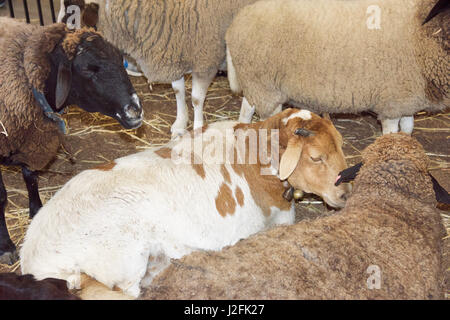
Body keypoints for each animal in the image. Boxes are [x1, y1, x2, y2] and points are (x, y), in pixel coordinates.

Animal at [0, 18, 143, 266]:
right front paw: (6, 247)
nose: (135, 110)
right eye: (88, 69)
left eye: (121, 62)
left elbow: (30, 176)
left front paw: (36, 212)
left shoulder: (32, 138)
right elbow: (1, 197)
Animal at [20, 108, 352, 298]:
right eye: (316, 157)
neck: (255, 159)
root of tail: (33, 256)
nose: (345, 194)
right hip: (123, 259)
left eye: (340, 145)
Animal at [96, 0, 274, 138]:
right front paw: (180, 123)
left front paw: (197, 128)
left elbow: (196, 99)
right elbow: (178, 91)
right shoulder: (175, 55)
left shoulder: (205, 61)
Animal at [227, 0, 448, 134]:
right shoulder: (392, 102)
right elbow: (392, 134)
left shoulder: (406, 99)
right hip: (265, 86)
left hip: (257, 84)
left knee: (246, 109)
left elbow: (408, 128)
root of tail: (236, 23)